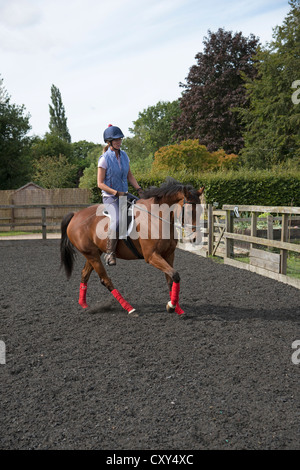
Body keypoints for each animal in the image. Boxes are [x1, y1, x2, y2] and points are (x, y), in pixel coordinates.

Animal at [60, 178, 204, 318]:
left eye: (202, 210)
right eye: (189, 211)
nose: (196, 238)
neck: (157, 218)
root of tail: (76, 215)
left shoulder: (169, 254)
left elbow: (172, 279)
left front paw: (176, 308)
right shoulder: (152, 256)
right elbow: (174, 275)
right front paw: (172, 306)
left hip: (94, 253)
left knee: (85, 274)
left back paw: (84, 305)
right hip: (92, 255)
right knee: (105, 280)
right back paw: (129, 309)